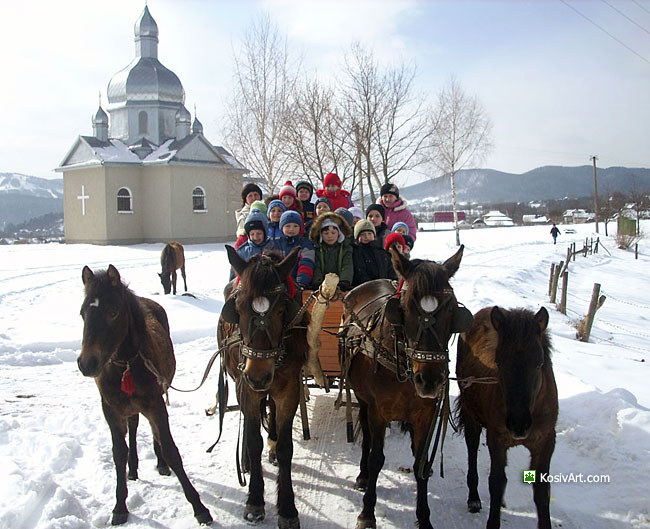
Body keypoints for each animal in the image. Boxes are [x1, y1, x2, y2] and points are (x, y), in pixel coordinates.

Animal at [76, 264, 210, 524]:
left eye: (113, 312)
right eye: (82, 313)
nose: (87, 363)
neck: (126, 365)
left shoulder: (156, 405)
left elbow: (170, 449)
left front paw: (199, 507)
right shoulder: (111, 410)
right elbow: (119, 453)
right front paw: (119, 506)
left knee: (150, 430)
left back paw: (160, 464)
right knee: (134, 427)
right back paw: (134, 468)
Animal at [216, 245, 308, 524]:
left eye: (281, 310)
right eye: (238, 307)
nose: (258, 376)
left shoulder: (289, 389)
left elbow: (287, 447)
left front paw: (287, 507)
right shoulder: (246, 389)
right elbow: (253, 438)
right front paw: (255, 500)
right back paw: (246, 460)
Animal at [340, 245, 470, 528]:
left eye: (451, 309)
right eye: (405, 307)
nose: (430, 380)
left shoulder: (425, 414)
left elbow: (421, 463)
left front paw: (424, 518)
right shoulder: (378, 411)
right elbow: (377, 458)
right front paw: (367, 511)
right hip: (362, 398)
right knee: (366, 432)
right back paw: (362, 475)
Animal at [454, 306, 560, 528]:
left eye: (539, 364)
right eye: (499, 362)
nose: (518, 425)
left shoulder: (546, 441)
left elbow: (542, 490)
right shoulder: (498, 439)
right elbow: (496, 482)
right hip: (471, 415)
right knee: (472, 449)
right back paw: (473, 498)